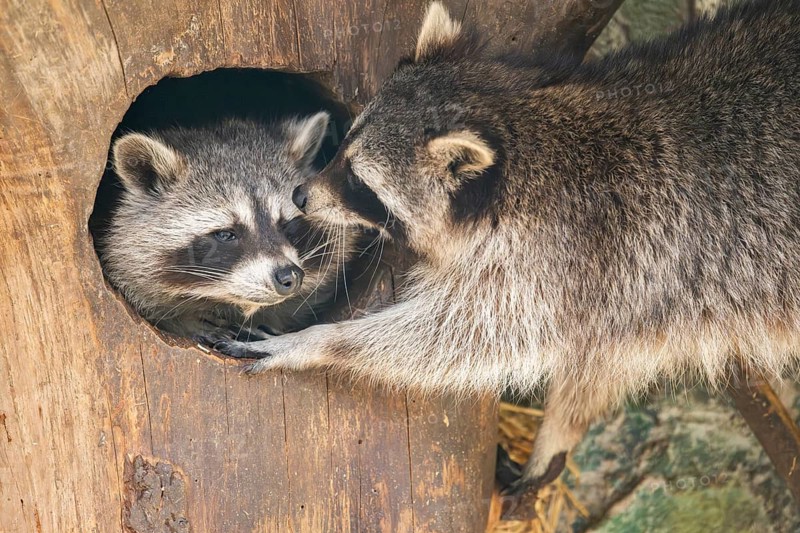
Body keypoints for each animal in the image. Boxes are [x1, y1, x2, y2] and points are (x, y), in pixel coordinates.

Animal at [209, 0, 800, 497]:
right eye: (342, 147)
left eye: (359, 181)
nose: (302, 195)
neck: (527, 131)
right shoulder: (625, 293)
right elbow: (602, 361)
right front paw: (561, 430)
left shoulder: (581, 257)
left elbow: (470, 338)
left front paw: (322, 341)